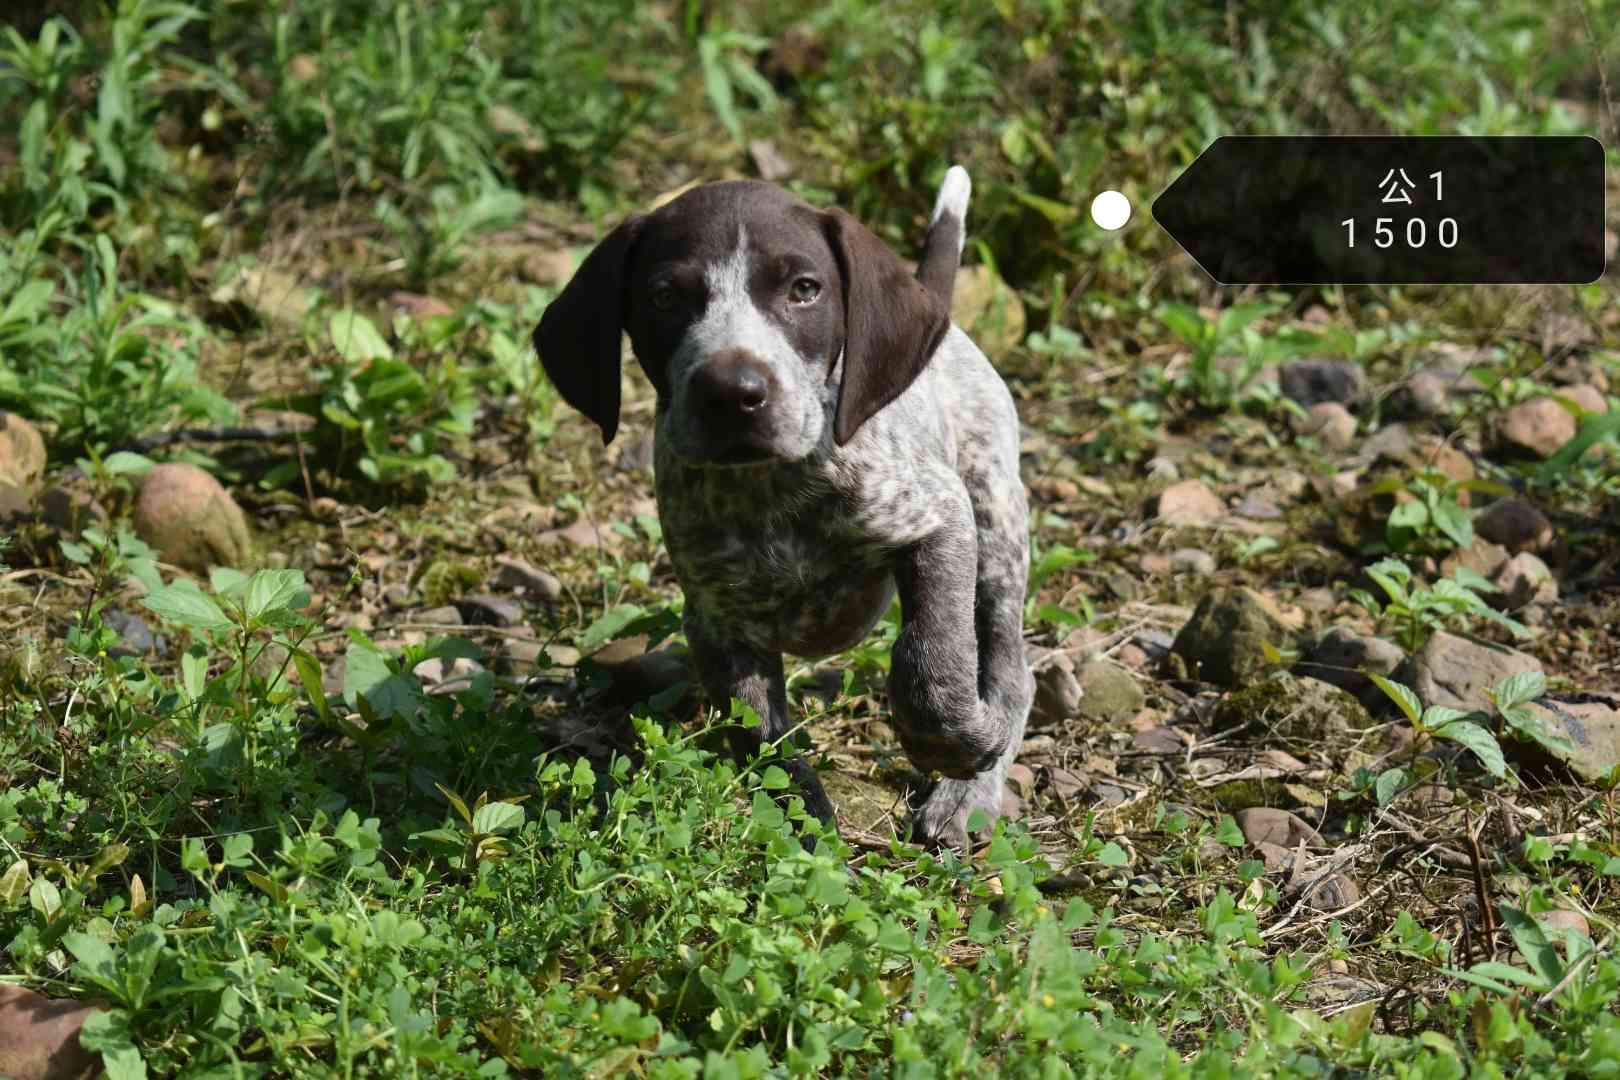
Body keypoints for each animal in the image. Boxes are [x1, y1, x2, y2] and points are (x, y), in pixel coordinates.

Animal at [537, 165, 1030, 848]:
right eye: (664, 297)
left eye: (804, 290)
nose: (732, 393)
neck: (770, 488)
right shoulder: (716, 619)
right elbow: (759, 734)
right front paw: (800, 818)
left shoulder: (938, 518)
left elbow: (930, 659)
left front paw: (954, 745)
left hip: (996, 527)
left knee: (1010, 670)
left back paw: (969, 792)